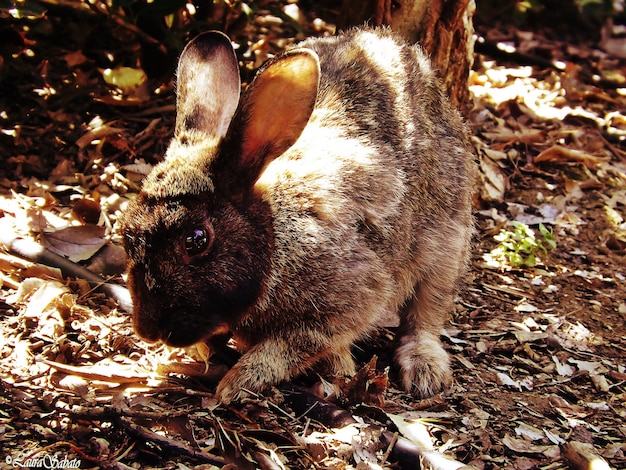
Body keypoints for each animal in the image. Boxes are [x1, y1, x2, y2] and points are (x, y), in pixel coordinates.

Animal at [119, 26, 476, 404]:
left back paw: (424, 368)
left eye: (196, 240)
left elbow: (293, 345)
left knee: (426, 314)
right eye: (125, 231)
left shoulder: (352, 294)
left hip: (446, 245)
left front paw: (238, 382)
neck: (276, 235)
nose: (147, 330)